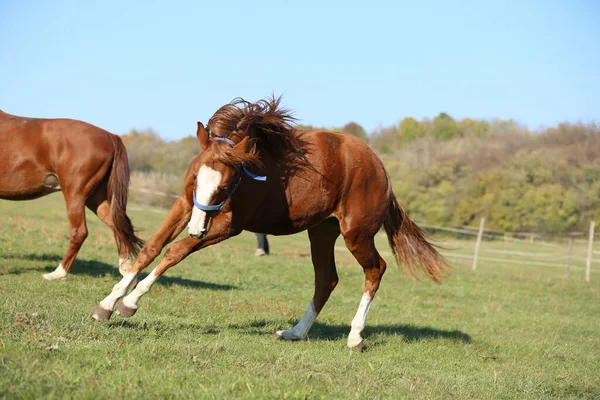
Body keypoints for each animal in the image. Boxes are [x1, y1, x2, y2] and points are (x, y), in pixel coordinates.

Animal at [0, 109, 143, 278]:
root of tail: (109, 135)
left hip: (75, 196)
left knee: (79, 232)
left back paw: (57, 273)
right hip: (95, 198)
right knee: (117, 225)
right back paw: (126, 269)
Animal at [92, 97, 446, 350]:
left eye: (225, 186)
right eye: (194, 180)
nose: (197, 228)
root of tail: (381, 169)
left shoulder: (227, 225)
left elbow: (175, 251)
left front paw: (130, 303)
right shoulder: (185, 204)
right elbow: (152, 247)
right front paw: (107, 304)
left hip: (356, 234)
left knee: (375, 270)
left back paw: (355, 336)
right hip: (321, 232)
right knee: (327, 279)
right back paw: (296, 332)